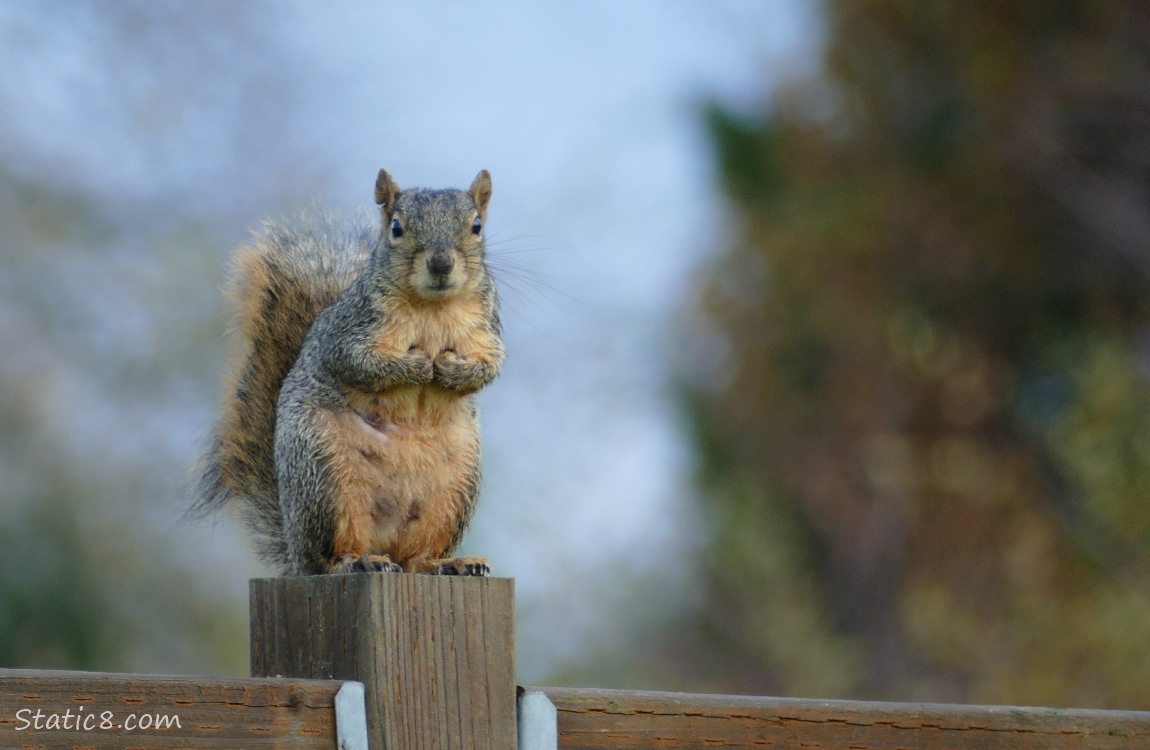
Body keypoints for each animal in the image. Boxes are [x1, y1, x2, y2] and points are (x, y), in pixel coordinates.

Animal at [194, 170, 503, 577]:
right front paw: (417, 364)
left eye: (476, 226)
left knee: (416, 558)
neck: (433, 307)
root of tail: (296, 557)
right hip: (323, 474)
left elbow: (489, 366)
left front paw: (452, 369)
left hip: (455, 491)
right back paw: (356, 561)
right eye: (396, 228)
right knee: (329, 555)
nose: (440, 263)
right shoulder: (350, 331)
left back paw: (450, 563)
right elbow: (358, 363)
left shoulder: (486, 331)